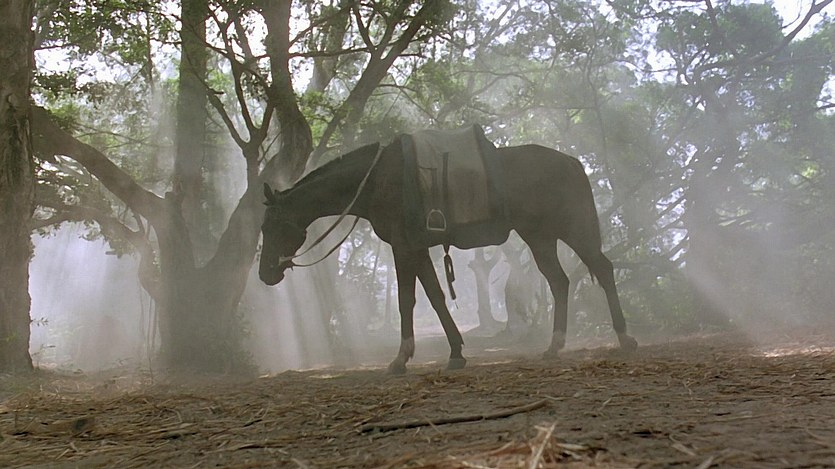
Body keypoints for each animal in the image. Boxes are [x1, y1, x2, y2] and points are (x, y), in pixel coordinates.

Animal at [259, 137, 638, 374]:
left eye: (271, 225)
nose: (265, 274)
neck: (377, 181)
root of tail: (572, 163)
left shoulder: (403, 247)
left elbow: (408, 301)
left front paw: (400, 359)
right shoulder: (417, 248)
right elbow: (436, 297)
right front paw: (455, 353)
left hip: (572, 230)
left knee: (603, 269)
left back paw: (625, 337)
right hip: (539, 237)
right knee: (559, 282)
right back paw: (554, 345)